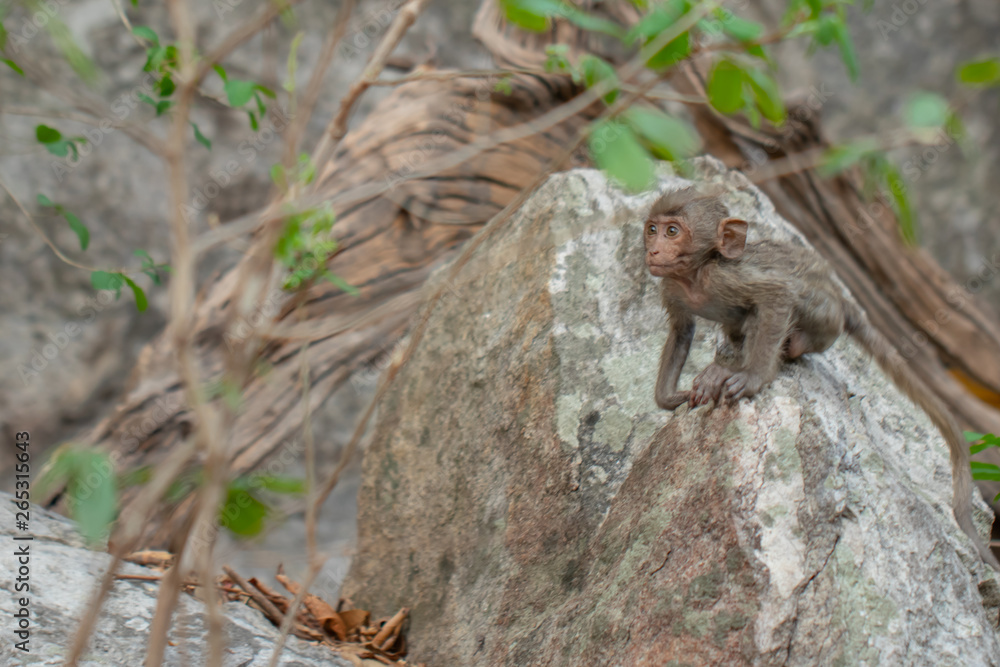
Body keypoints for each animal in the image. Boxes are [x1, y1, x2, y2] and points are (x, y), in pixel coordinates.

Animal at [644, 185, 996, 572]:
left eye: (673, 231)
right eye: (652, 229)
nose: (652, 250)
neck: (695, 276)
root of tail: (841, 298)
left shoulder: (725, 278)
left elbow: (776, 295)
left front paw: (751, 377)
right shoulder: (671, 288)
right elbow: (682, 331)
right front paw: (670, 398)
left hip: (823, 319)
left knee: (772, 320)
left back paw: (736, 365)